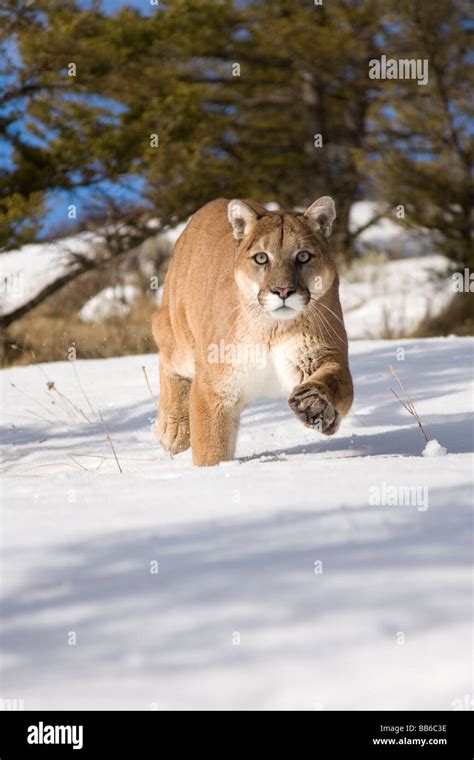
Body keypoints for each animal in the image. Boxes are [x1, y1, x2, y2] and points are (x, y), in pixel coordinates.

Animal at [152, 196, 353, 466]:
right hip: (179, 336)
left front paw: (317, 405)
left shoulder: (325, 355)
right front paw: (213, 472)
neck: (272, 328)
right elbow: (210, 448)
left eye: (303, 256)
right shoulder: (213, 387)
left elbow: (336, 381)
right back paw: (172, 431)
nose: (282, 291)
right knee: (164, 347)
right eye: (261, 258)